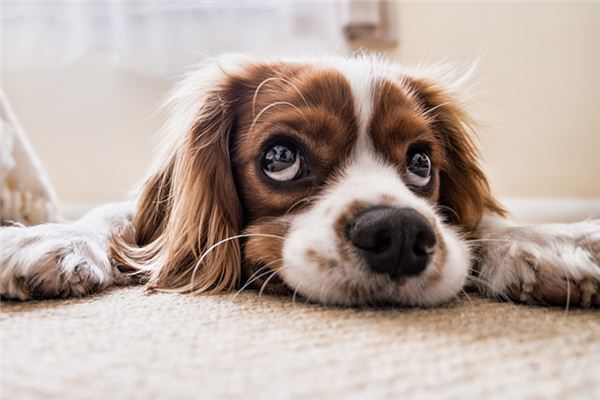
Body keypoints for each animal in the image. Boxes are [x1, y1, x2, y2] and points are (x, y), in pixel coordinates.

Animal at [1, 55, 600, 306]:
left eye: (421, 163)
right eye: (281, 157)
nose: (400, 234)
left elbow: (482, 224)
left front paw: (549, 243)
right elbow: (117, 217)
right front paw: (50, 238)